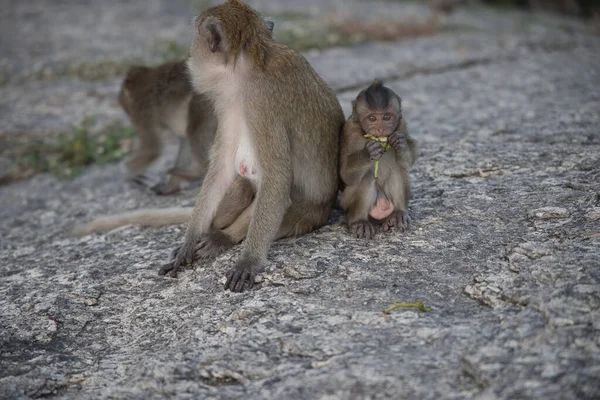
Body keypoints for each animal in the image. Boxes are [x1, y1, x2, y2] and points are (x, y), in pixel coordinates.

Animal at [158, 0, 346, 292]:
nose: (190, 57)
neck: (251, 62)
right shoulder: (230, 103)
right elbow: (222, 168)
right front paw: (189, 241)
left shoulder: (260, 103)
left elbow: (278, 181)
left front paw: (249, 260)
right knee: (243, 188)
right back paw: (212, 232)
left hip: (304, 218)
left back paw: (223, 239)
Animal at [340, 79, 420, 239]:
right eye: (372, 118)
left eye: (386, 117)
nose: (381, 129)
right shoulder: (349, 131)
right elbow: (345, 174)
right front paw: (369, 152)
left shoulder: (401, 125)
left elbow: (408, 161)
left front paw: (401, 144)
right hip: (346, 202)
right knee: (366, 179)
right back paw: (359, 221)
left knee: (398, 170)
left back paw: (398, 213)